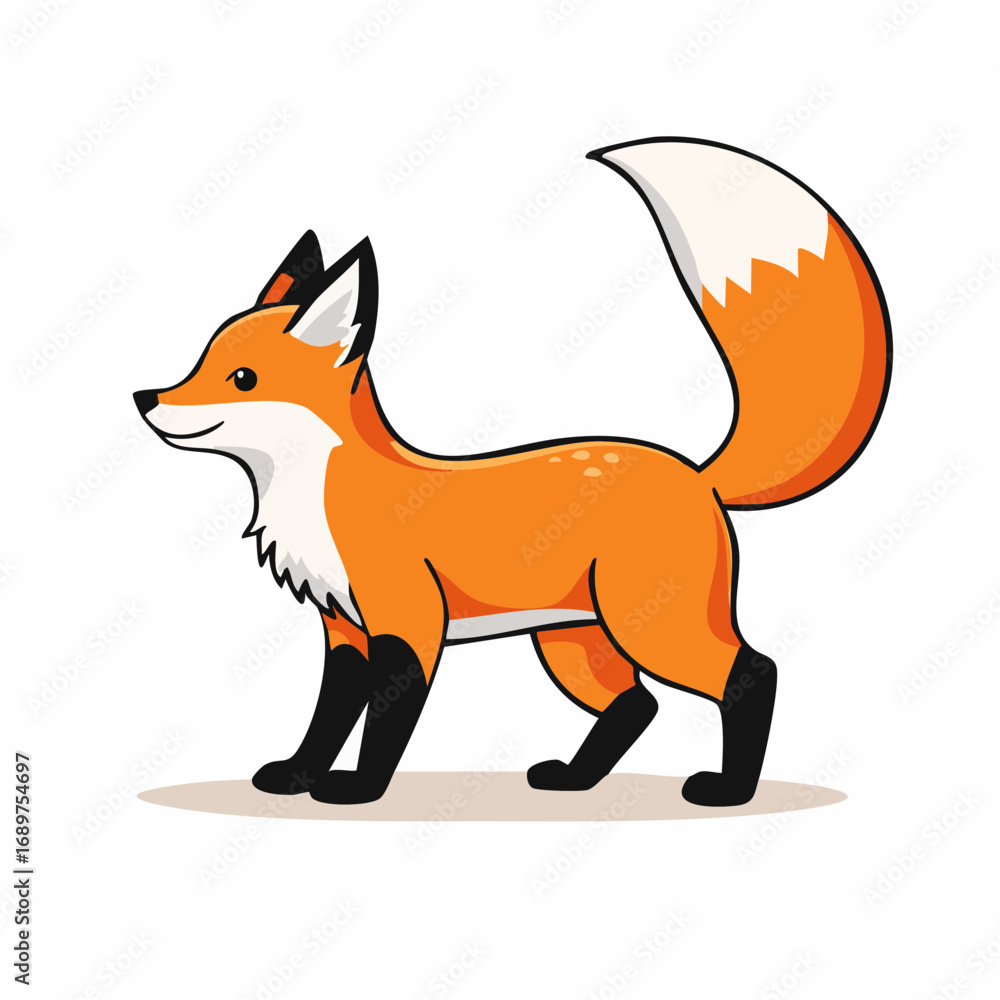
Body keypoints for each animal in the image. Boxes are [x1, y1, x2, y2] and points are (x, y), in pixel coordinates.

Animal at [134, 137, 890, 807]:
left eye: (242, 378)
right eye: (201, 361)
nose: (145, 399)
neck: (316, 492)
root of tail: (695, 472)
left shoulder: (408, 629)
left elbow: (383, 728)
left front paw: (356, 791)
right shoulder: (344, 632)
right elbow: (325, 721)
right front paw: (297, 777)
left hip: (648, 628)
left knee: (751, 671)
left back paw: (730, 791)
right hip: (572, 642)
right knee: (636, 704)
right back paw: (577, 780)